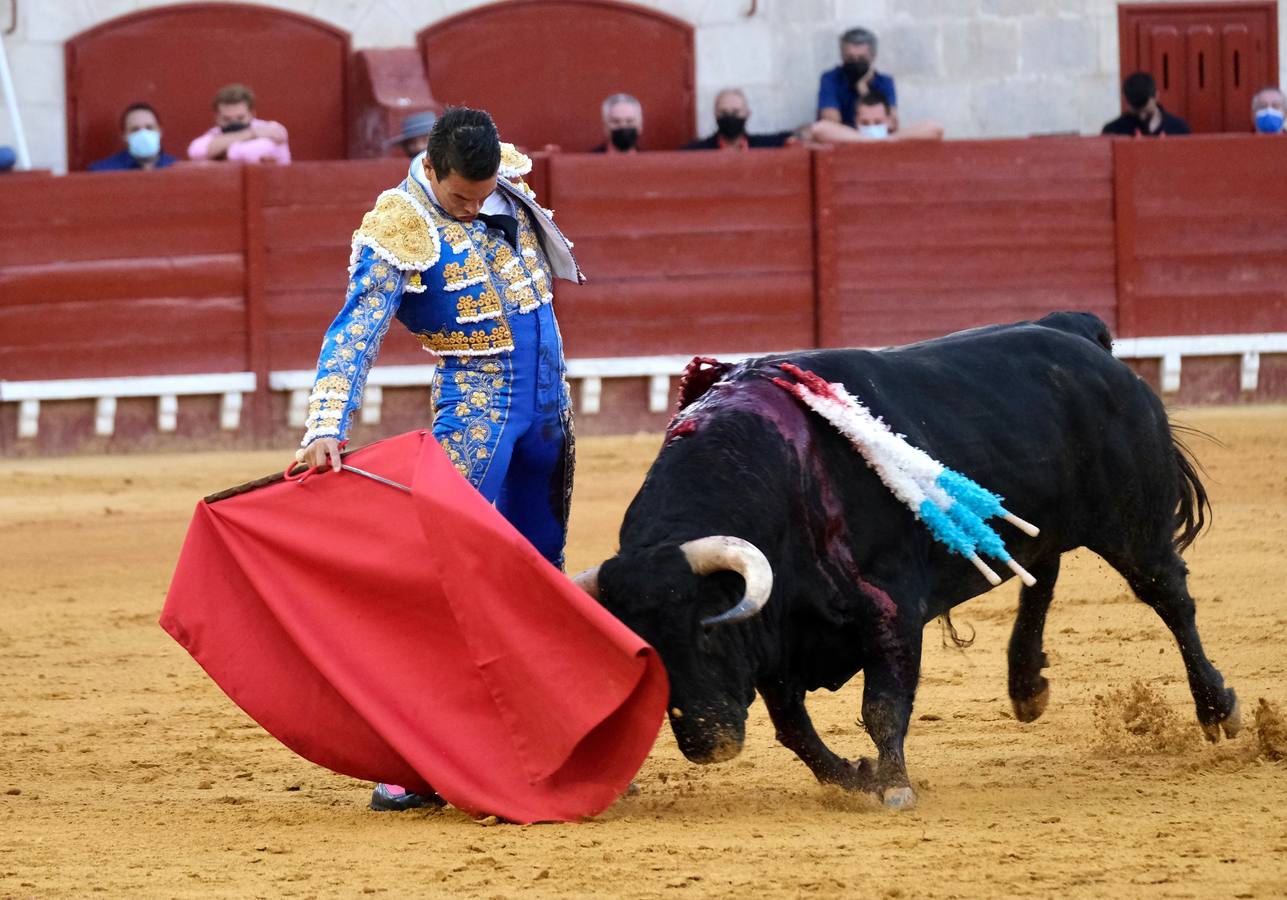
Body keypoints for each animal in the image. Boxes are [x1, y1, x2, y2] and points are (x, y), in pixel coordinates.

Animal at [579, 311, 1240, 808]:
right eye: (646, 653)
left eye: (706, 635)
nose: (706, 743)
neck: (773, 479)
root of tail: (1077, 334)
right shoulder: (776, 639)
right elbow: (794, 727)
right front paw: (856, 778)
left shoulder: (889, 608)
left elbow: (882, 704)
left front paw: (894, 785)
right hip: (1034, 519)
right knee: (1042, 571)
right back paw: (1027, 686)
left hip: (1135, 525)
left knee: (1170, 598)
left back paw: (1218, 709)